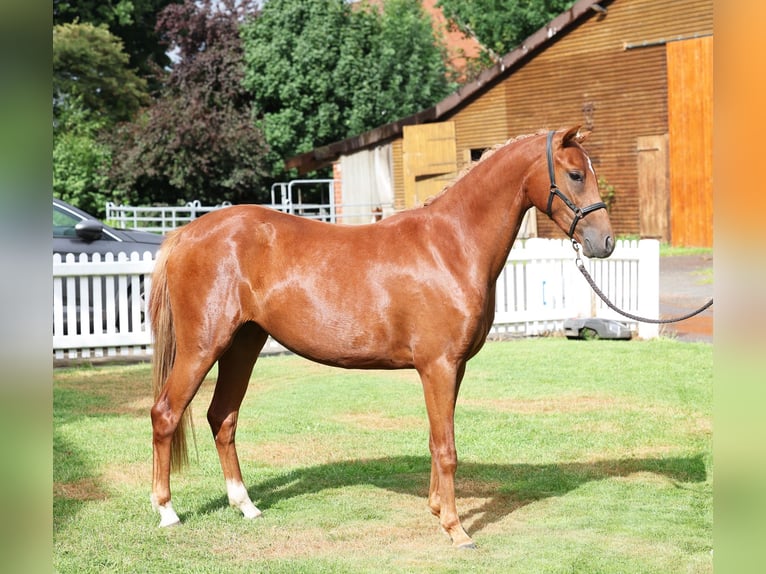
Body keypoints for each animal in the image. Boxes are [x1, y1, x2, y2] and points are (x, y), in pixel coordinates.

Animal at [149, 127, 614, 549]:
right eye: (575, 174)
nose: (604, 242)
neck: (450, 246)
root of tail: (185, 234)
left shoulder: (452, 368)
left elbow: (435, 440)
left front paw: (436, 509)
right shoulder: (438, 366)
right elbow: (447, 448)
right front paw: (456, 530)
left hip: (243, 345)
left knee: (222, 418)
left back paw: (245, 505)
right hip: (202, 346)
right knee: (166, 413)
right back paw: (167, 511)